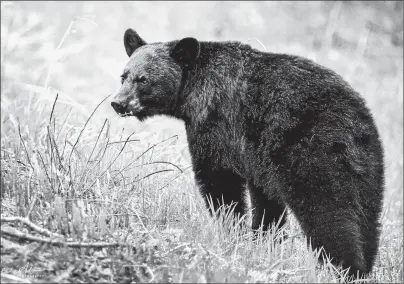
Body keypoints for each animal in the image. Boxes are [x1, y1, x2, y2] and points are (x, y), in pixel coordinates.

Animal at [110, 28, 386, 278]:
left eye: (143, 79)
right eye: (124, 75)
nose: (117, 103)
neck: (194, 90)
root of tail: (351, 122)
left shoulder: (217, 127)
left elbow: (219, 182)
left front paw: (232, 231)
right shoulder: (259, 157)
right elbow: (266, 199)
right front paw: (263, 242)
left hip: (313, 157)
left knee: (330, 215)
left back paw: (345, 269)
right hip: (369, 166)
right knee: (367, 218)